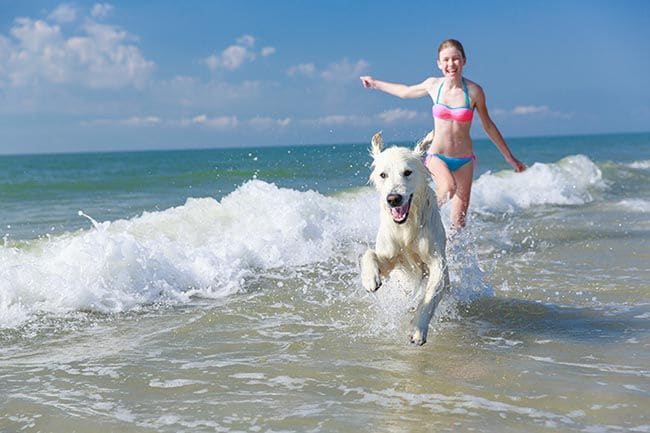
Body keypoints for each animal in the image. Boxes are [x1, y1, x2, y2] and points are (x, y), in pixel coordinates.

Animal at [360, 131, 446, 344]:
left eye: (407, 172)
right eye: (383, 175)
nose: (393, 199)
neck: (406, 227)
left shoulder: (437, 262)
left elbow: (431, 294)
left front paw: (418, 329)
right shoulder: (390, 258)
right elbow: (368, 253)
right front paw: (370, 279)